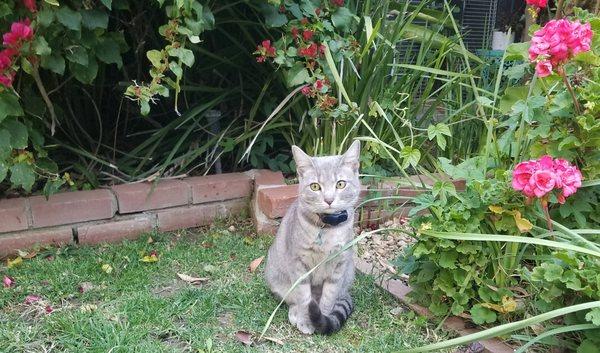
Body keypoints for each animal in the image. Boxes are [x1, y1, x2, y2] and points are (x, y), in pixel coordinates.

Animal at [264, 140, 360, 332]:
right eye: (315, 186)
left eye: (340, 184)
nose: (329, 200)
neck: (327, 229)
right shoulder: (298, 264)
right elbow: (304, 297)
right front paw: (306, 320)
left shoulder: (339, 265)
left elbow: (328, 297)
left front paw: (322, 318)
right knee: (292, 300)